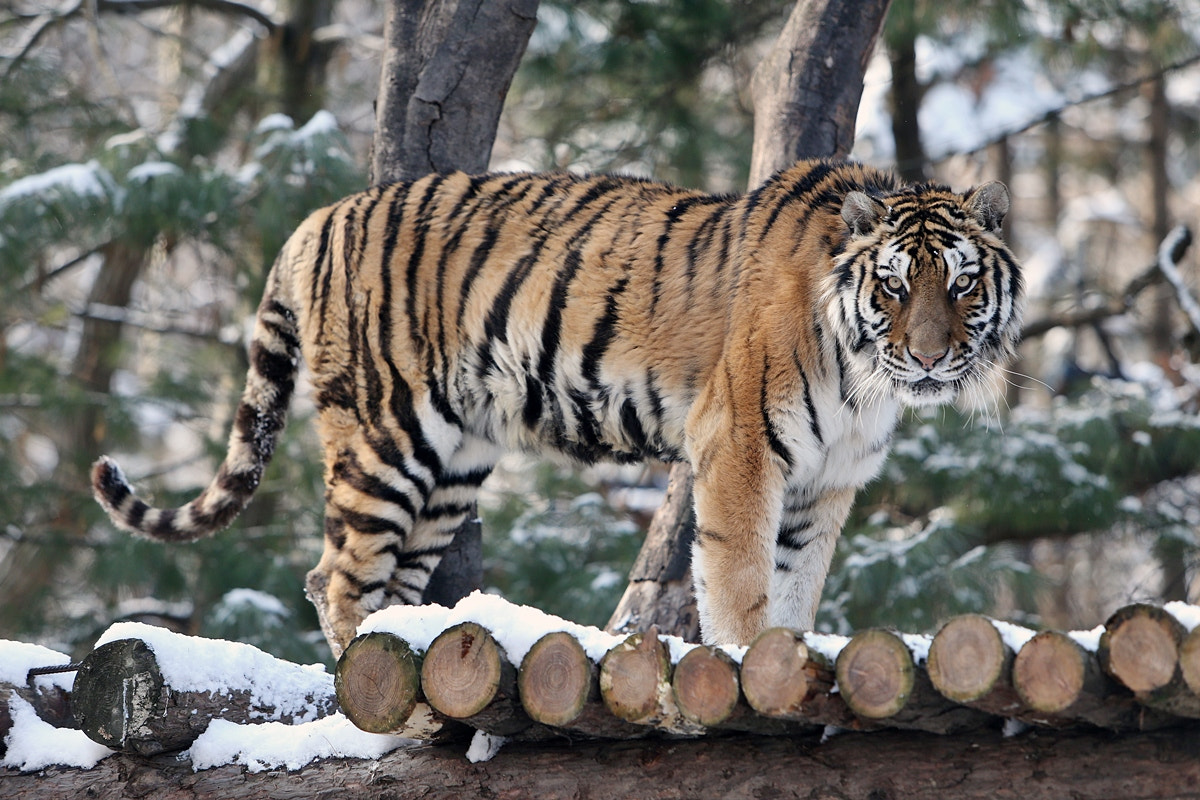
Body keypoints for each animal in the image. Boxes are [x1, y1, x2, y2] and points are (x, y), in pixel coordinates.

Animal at [91, 159, 1023, 654]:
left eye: (962, 284)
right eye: (894, 285)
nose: (930, 357)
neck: (865, 380)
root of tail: (316, 218)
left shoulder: (825, 483)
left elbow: (795, 591)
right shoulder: (741, 449)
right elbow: (739, 584)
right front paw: (749, 663)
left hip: (455, 462)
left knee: (391, 578)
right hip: (386, 436)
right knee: (338, 578)